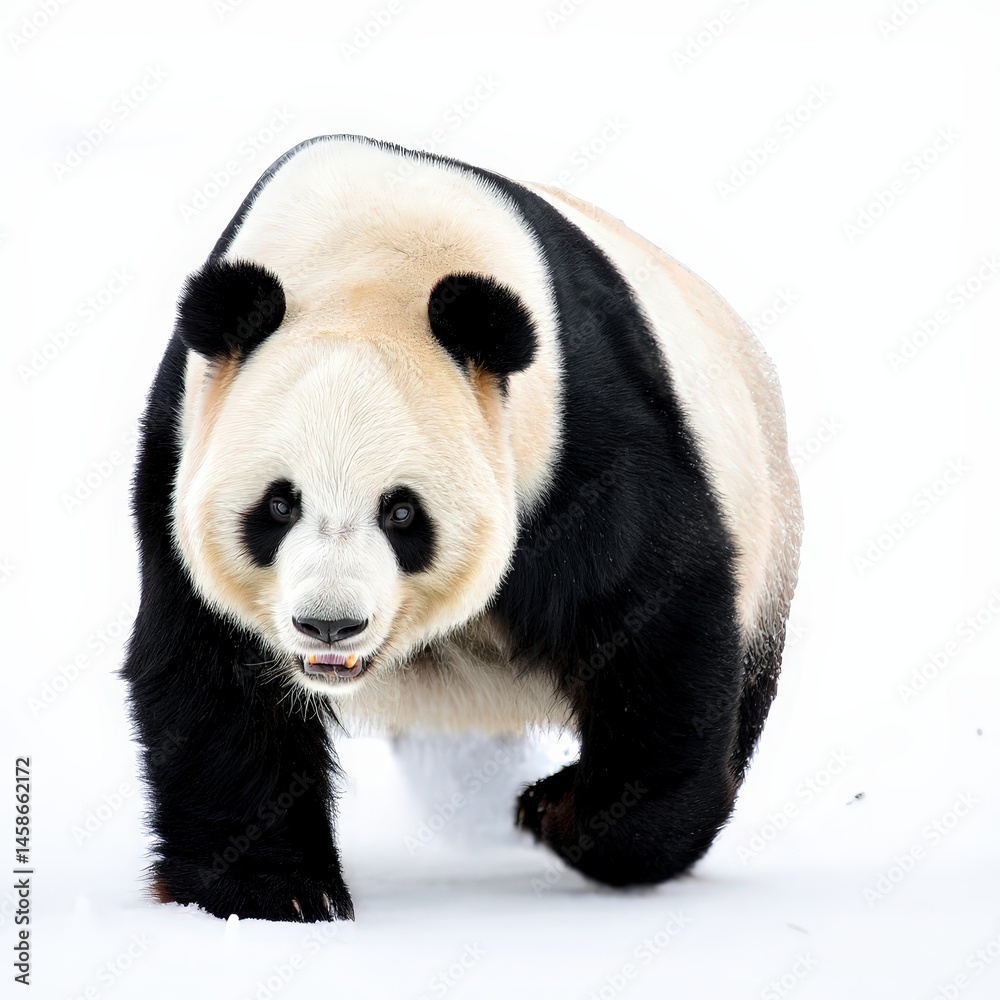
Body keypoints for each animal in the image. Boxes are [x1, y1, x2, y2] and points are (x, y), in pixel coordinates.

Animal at [123, 134, 802, 922]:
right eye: (279, 505)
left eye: (401, 512)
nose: (330, 625)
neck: (369, 262)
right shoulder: (183, 440)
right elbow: (211, 675)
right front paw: (274, 893)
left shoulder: (582, 439)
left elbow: (656, 629)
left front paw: (562, 814)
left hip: (767, 521)